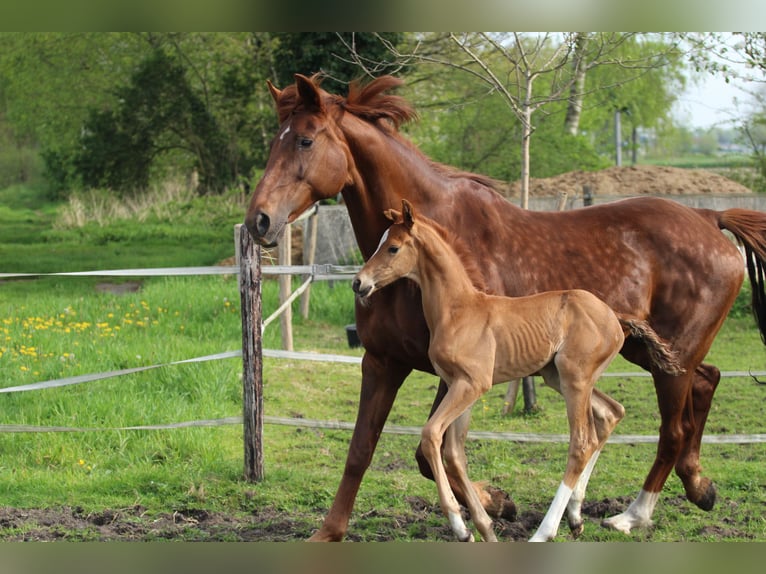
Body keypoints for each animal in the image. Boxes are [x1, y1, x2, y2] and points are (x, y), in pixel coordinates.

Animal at [354, 201, 684, 544]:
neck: (458, 310)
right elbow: (455, 454)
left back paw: (544, 532)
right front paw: (485, 529)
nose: (358, 283)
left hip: (574, 378)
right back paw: (575, 516)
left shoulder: (472, 384)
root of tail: (615, 315)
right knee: (610, 414)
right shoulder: (459, 385)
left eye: (393, 247)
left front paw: (460, 527)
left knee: (581, 443)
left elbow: (431, 434)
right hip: (557, 377)